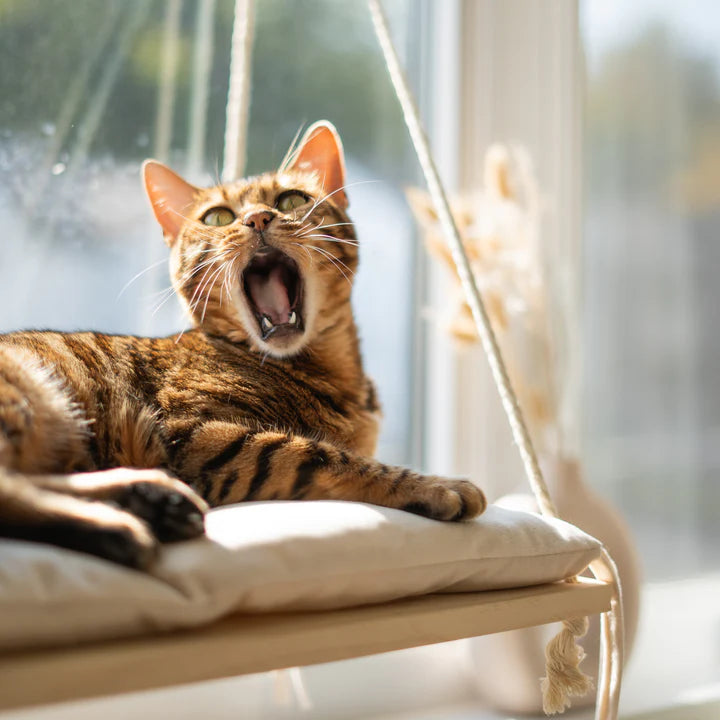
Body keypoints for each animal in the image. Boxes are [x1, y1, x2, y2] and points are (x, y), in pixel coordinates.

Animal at [0, 122, 490, 568]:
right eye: (217, 216)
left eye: (290, 200)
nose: (257, 218)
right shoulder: (194, 433)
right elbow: (323, 455)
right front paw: (434, 484)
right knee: (12, 491)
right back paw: (118, 526)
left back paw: (150, 501)